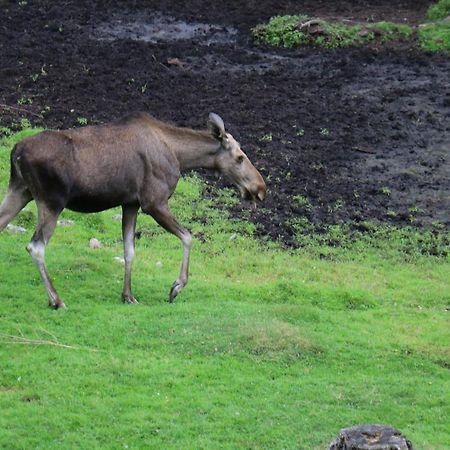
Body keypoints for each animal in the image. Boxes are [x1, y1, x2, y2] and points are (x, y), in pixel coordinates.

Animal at [0, 112, 266, 310]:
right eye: (240, 157)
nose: (260, 188)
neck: (179, 156)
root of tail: (16, 152)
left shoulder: (130, 203)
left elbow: (129, 250)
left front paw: (127, 295)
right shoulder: (153, 201)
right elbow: (188, 236)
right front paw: (176, 287)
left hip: (19, 190)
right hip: (51, 201)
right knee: (36, 246)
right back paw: (56, 299)